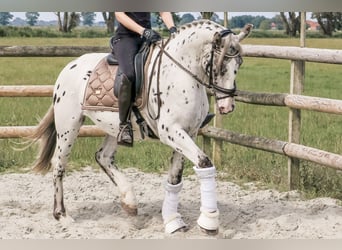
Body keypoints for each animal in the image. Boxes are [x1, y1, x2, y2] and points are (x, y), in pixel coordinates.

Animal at [29, 20, 252, 234]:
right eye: (219, 66)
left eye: (239, 63)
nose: (226, 107)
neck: (181, 74)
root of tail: (70, 66)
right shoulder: (171, 132)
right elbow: (204, 163)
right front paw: (209, 223)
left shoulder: (190, 132)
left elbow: (175, 177)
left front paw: (172, 221)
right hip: (69, 124)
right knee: (59, 163)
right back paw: (62, 215)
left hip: (114, 127)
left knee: (103, 157)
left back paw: (129, 201)